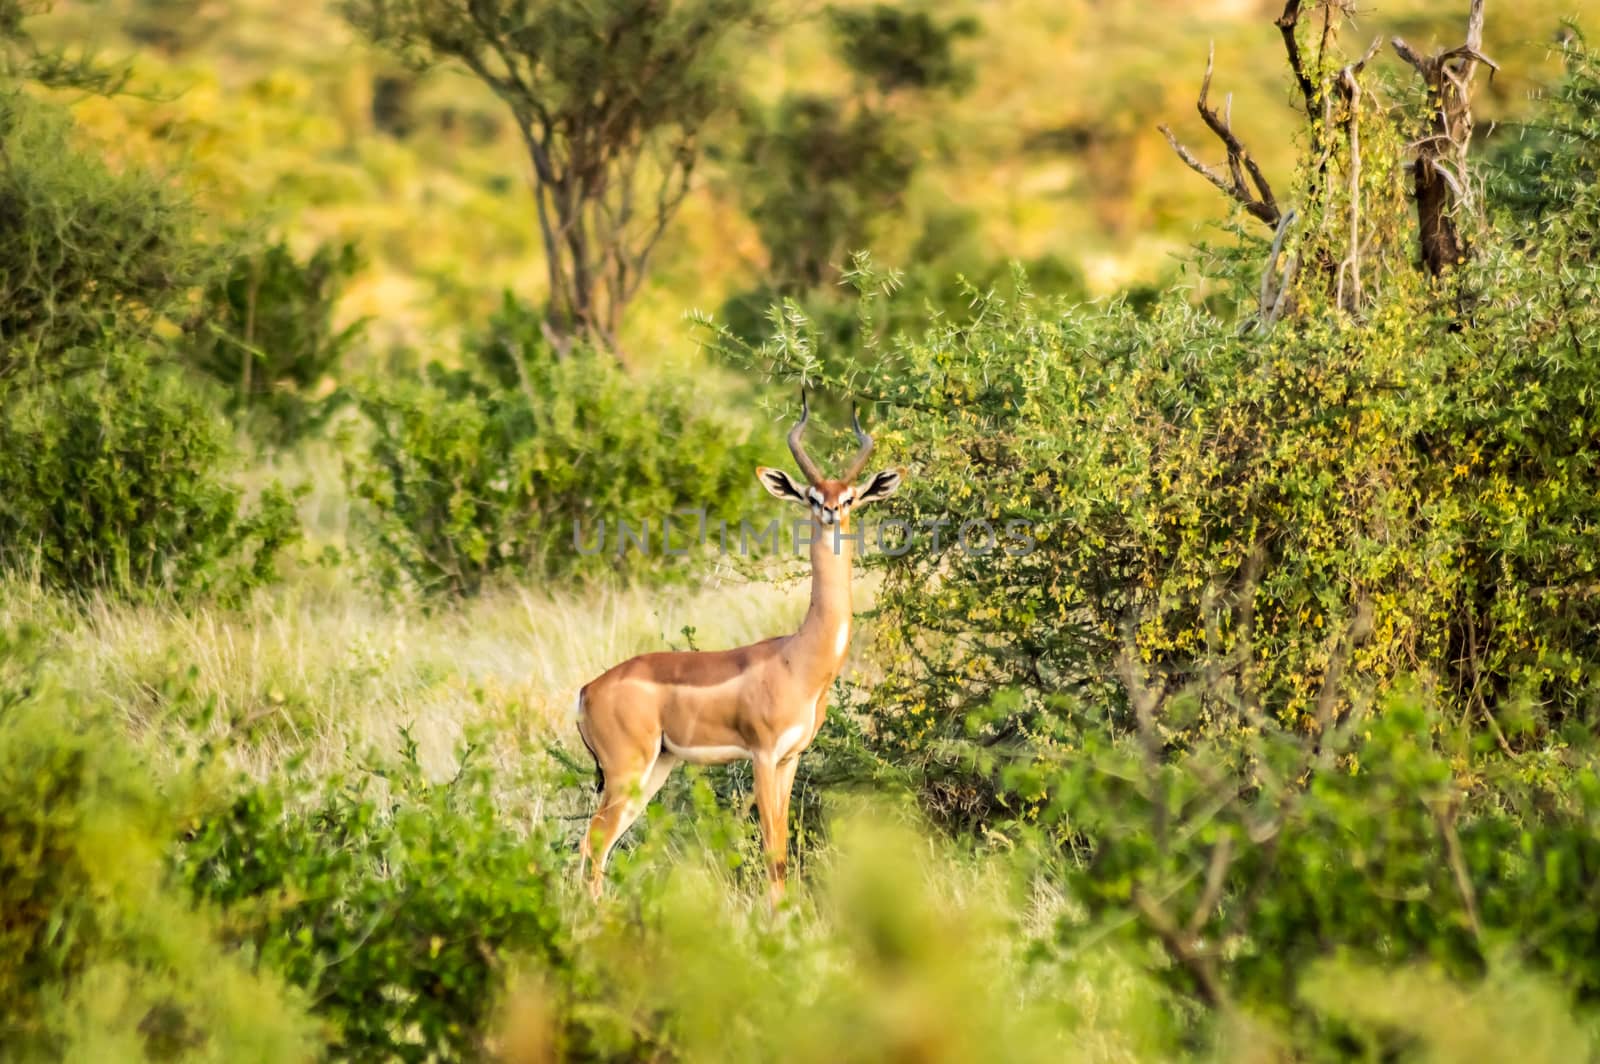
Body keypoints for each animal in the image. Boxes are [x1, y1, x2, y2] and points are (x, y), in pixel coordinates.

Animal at [576, 393, 908, 902]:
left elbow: (784, 847)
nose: (831, 510)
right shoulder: (763, 756)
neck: (799, 659)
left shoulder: (791, 759)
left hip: (654, 770)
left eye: (850, 495)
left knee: (601, 844)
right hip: (626, 771)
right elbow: (771, 850)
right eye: (812, 495)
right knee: (591, 842)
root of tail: (587, 690)